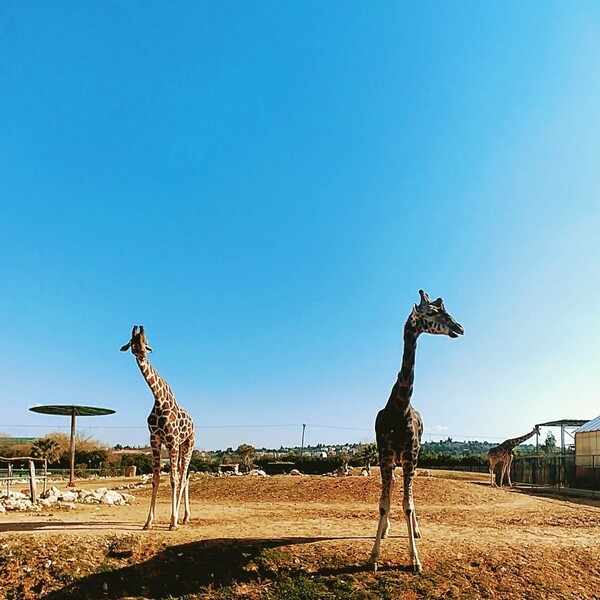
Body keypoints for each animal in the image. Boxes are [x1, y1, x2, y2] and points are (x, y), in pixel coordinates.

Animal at [120, 326, 196, 528]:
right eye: (132, 342)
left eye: (146, 342)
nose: (140, 352)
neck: (159, 399)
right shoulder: (155, 439)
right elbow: (156, 479)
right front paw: (148, 522)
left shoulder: (171, 440)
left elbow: (173, 480)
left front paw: (172, 521)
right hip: (179, 446)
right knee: (184, 477)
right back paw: (185, 517)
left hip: (187, 444)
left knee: (183, 478)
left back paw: (180, 518)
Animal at [370, 290, 464, 572]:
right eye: (431, 312)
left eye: (446, 310)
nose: (460, 327)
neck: (399, 408)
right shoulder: (385, 454)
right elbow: (384, 503)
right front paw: (374, 557)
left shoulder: (410, 455)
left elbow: (408, 505)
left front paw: (415, 560)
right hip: (396, 460)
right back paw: (387, 530)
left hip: (412, 457)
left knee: (410, 497)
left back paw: (417, 531)